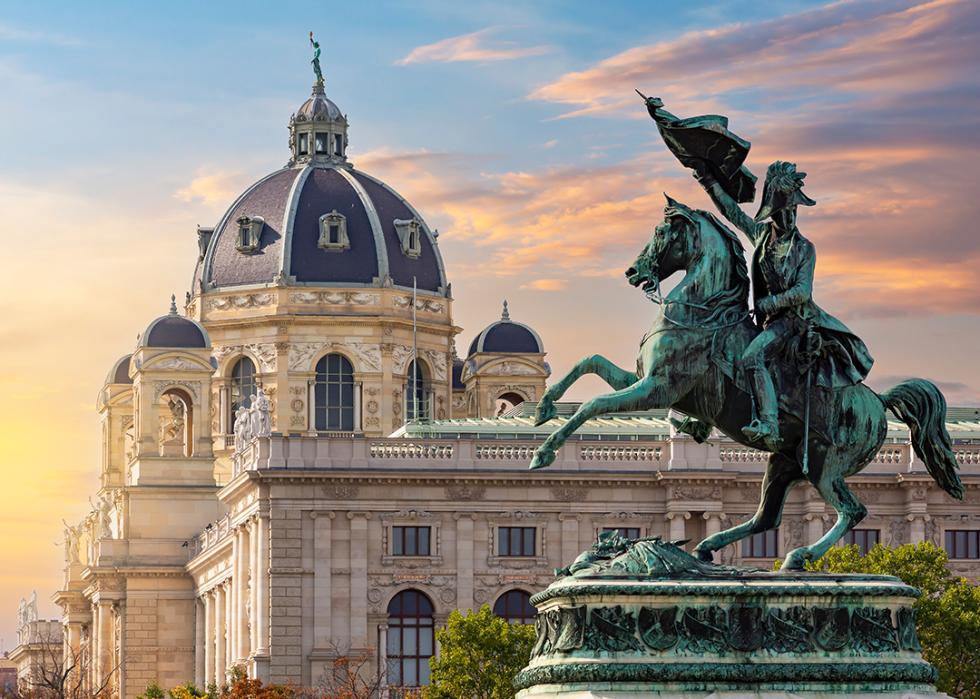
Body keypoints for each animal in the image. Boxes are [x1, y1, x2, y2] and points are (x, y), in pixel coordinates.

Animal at [528, 196, 964, 568]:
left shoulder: (659, 387)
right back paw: (708, 547)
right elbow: (590, 362)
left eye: (661, 231)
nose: (633, 272)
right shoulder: (645, 380)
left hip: (825, 467)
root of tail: (877, 401)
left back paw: (797, 556)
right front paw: (544, 407)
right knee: (767, 518)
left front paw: (544, 452)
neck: (704, 314)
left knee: (851, 511)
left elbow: (593, 404)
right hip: (784, 462)